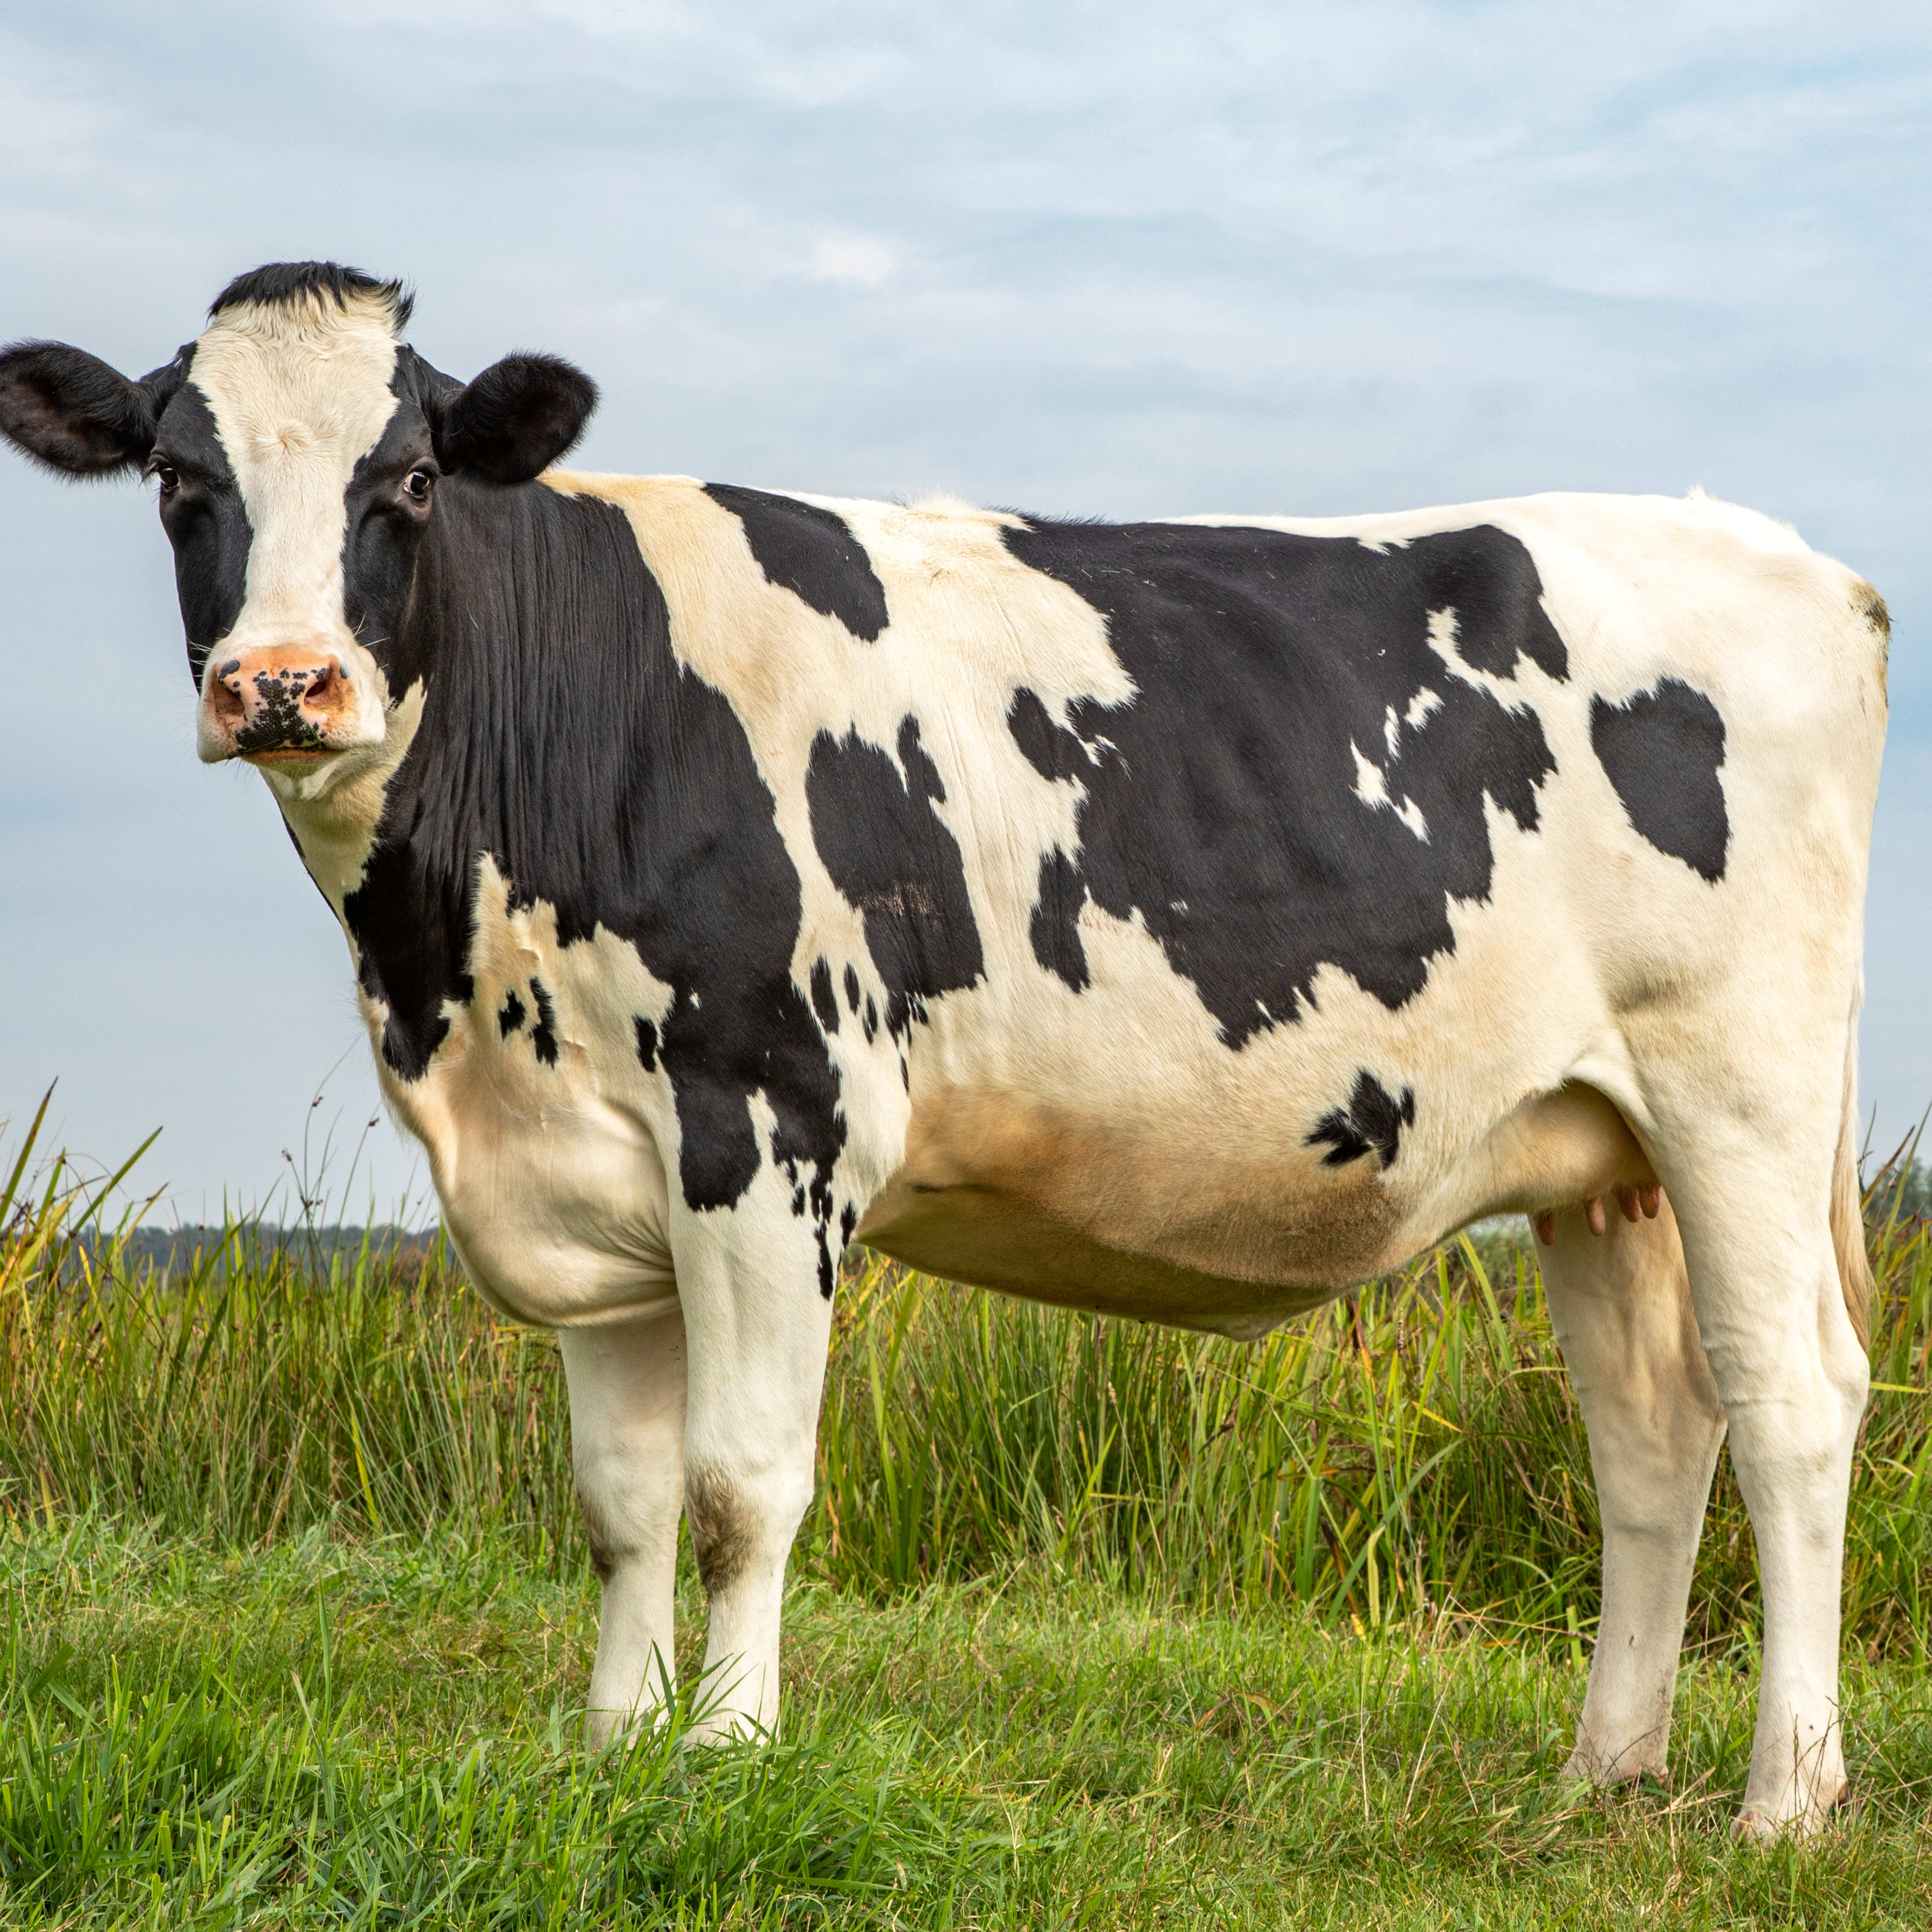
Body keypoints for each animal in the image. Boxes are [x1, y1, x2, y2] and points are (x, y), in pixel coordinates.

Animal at [0, 262, 1886, 1837]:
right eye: (181, 482)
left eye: (404, 482)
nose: (283, 685)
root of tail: (1802, 563)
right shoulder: (588, 1169)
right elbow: (619, 1499)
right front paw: (608, 1746)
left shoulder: (773, 1124)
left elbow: (739, 1486)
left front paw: (725, 1749)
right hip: (1597, 1152)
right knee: (1649, 1429)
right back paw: (1601, 1771)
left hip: (1741, 1093)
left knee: (1790, 1402)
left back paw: (1781, 1798)